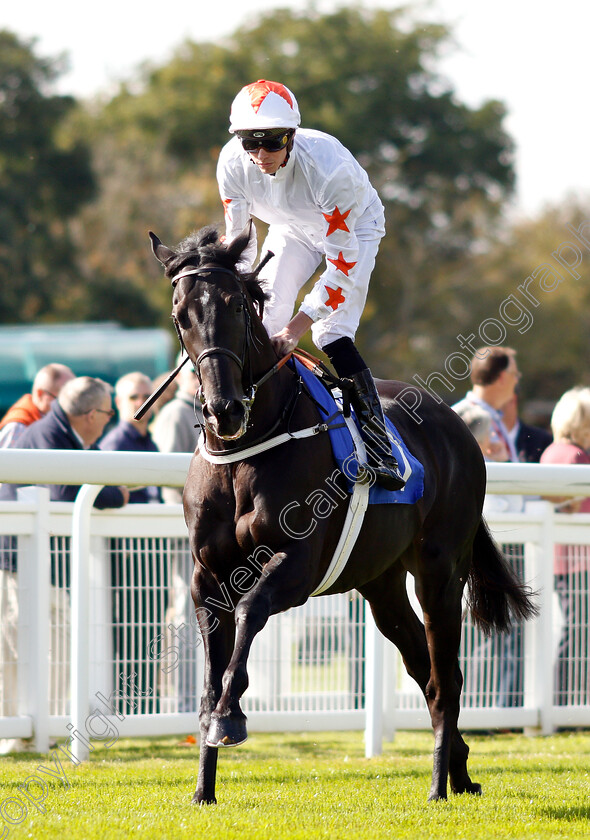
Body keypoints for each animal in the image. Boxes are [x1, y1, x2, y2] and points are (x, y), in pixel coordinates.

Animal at [149, 226, 536, 804]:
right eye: (181, 315)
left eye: (237, 305)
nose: (224, 410)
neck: (248, 449)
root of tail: (457, 426)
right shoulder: (205, 575)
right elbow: (211, 672)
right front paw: (202, 788)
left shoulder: (298, 565)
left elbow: (249, 613)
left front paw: (231, 717)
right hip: (382, 585)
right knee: (423, 669)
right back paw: (460, 770)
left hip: (441, 573)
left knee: (447, 677)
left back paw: (439, 785)